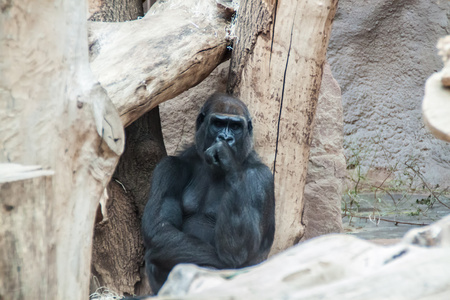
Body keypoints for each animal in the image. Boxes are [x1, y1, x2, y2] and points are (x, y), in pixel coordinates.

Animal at [142, 92, 274, 292]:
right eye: (218, 123)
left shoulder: (260, 178)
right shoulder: (169, 167)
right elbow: (160, 229)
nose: (225, 138)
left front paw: (227, 157)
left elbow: (238, 251)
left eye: (235, 127)